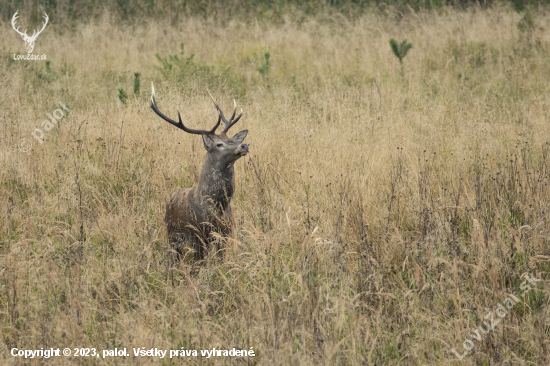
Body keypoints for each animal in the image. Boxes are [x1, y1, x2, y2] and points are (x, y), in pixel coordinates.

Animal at [153, 83, 252, 260]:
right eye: (219, 144)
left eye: (232, 140)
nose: (244, 145)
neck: (217, 206)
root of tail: (170, 199)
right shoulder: (197, 236)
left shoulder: (224, 234)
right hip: (172, 235)